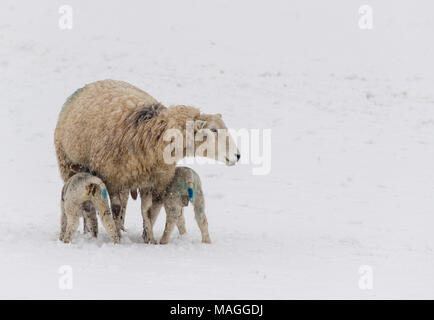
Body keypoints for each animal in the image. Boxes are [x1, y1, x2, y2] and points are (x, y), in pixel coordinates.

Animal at [54, 79, 241, 242]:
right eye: (214, 130)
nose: (238, 155)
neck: (150, 132)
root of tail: (94, 83)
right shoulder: (112, 179)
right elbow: (116, 209)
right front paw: (120, 236)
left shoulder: (155, 182)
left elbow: (149, 211)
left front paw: (148, 238)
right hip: (70, 167)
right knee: (91, 208)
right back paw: (91, 232)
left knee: (124, 202)